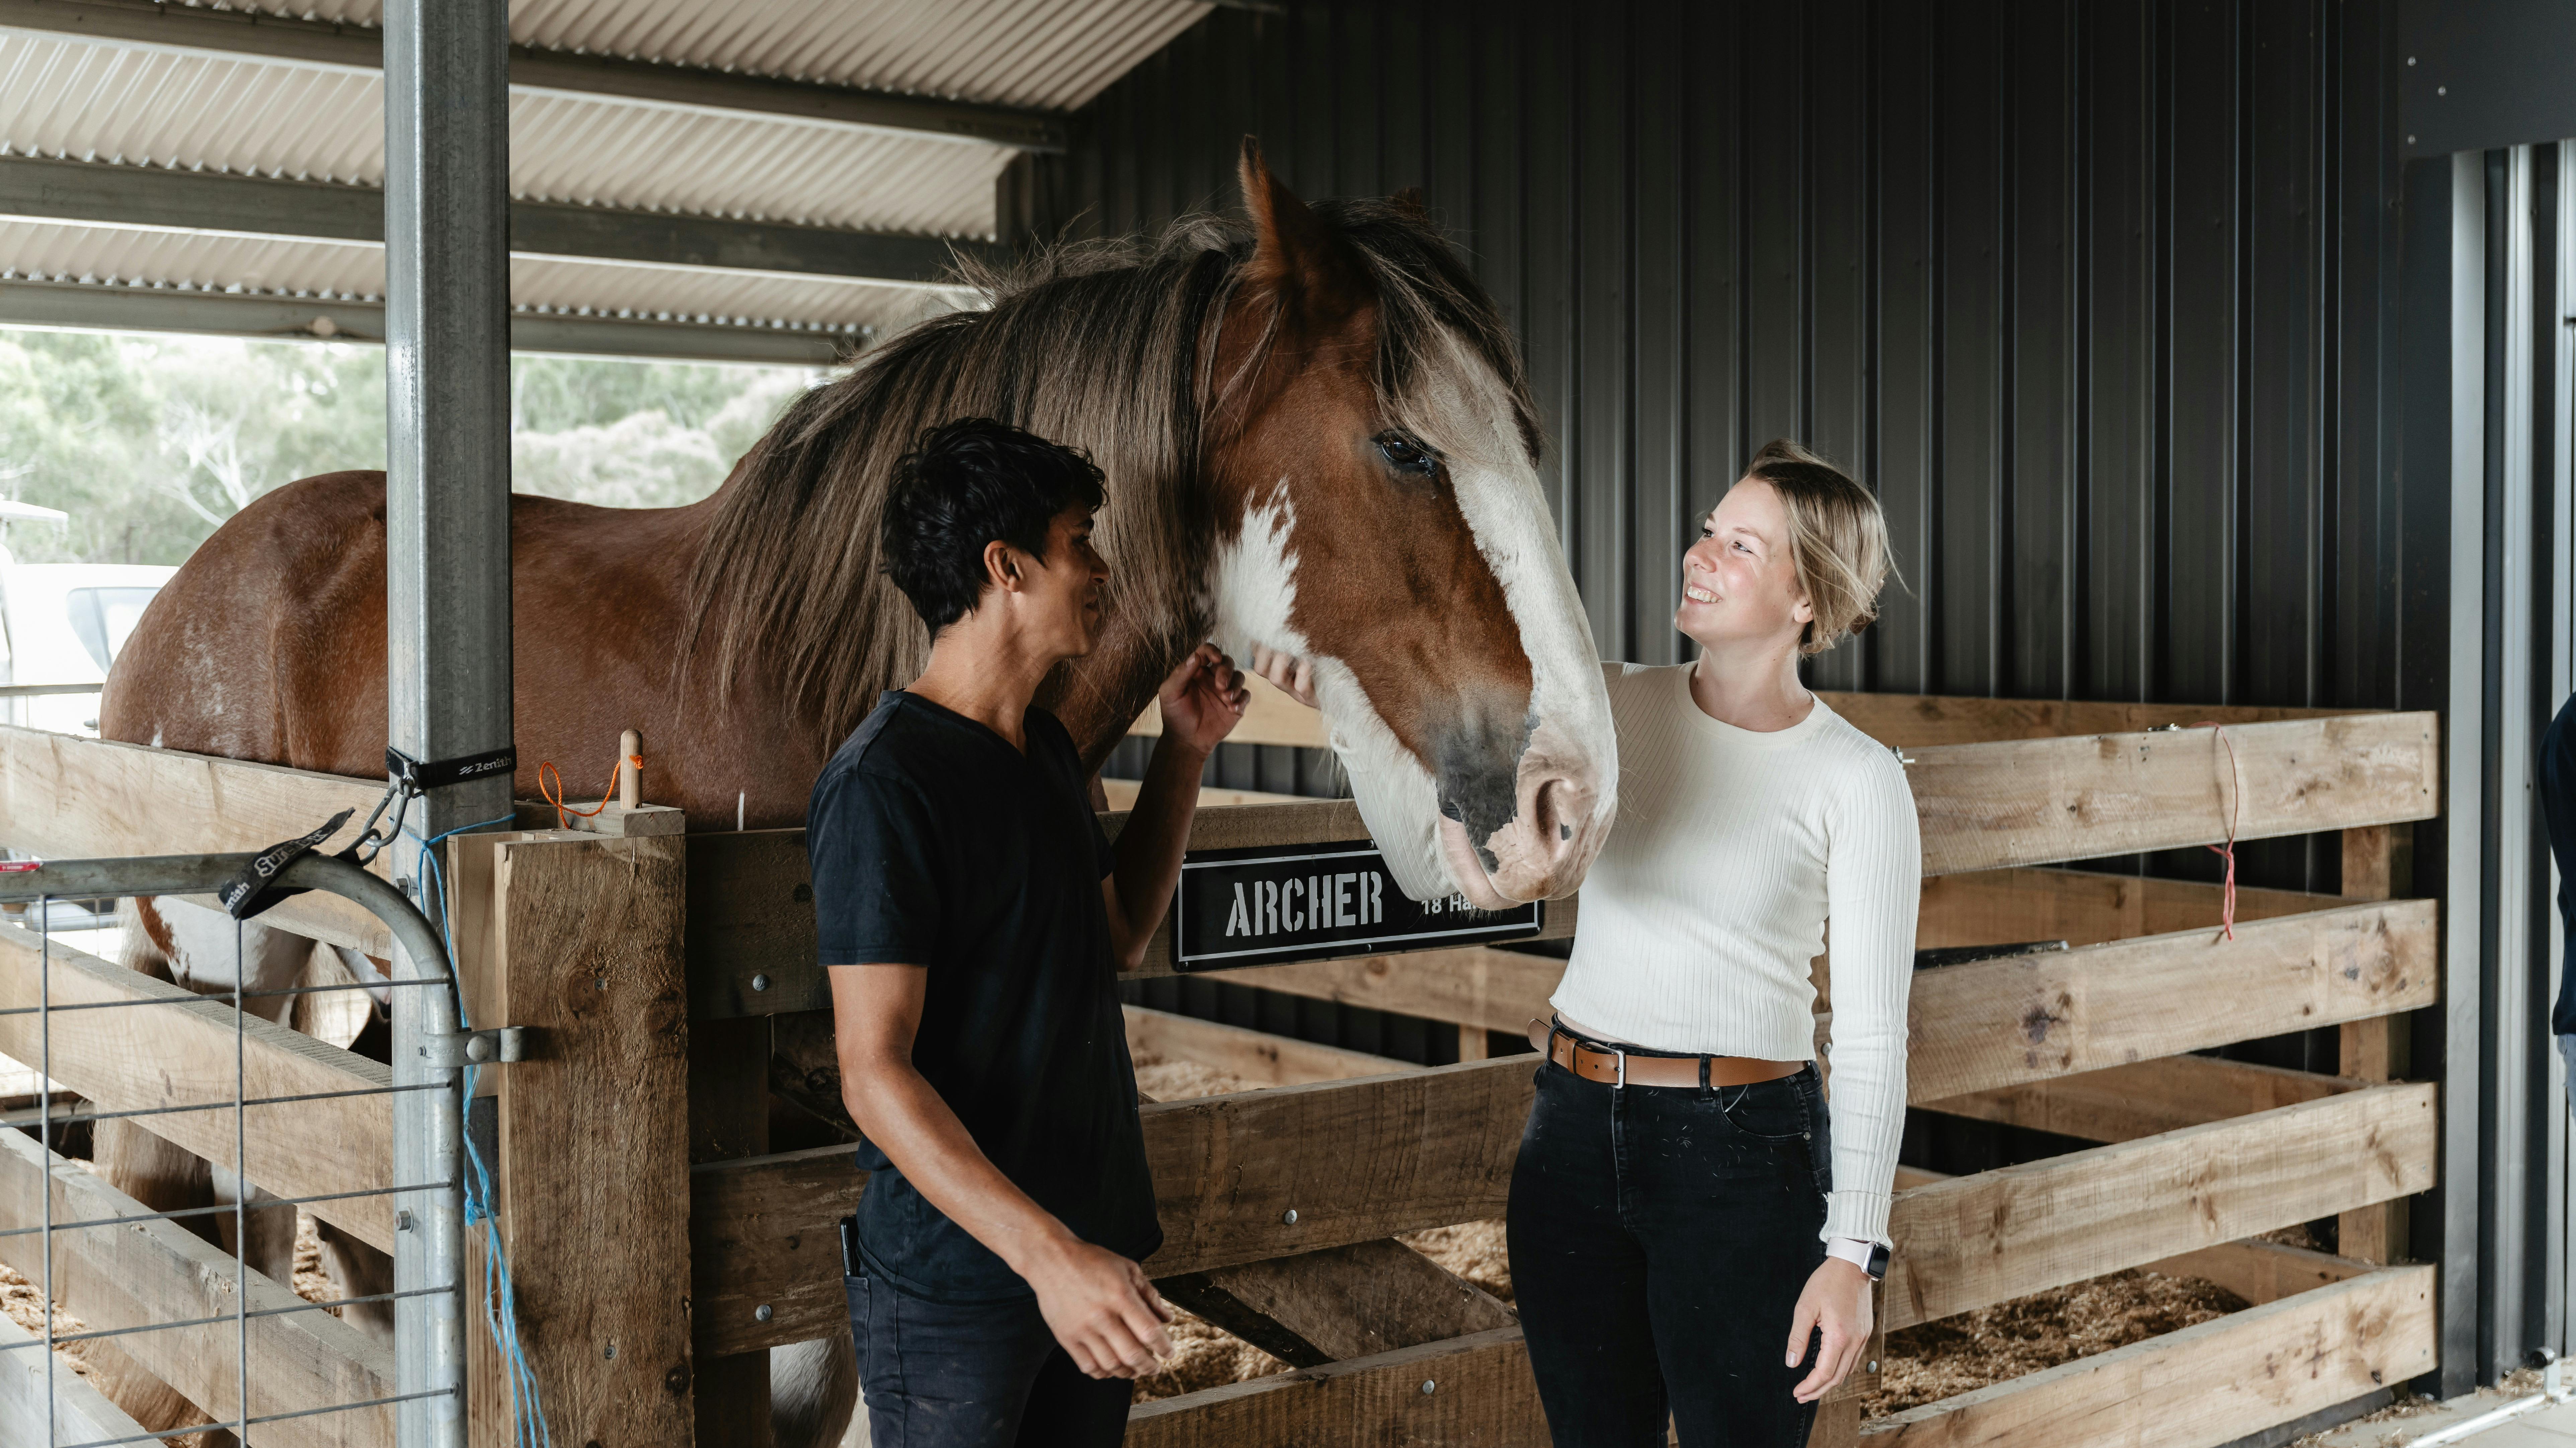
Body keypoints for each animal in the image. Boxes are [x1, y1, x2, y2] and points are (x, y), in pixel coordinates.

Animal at [92, 142, 1617, 1446]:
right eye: (1406, 447)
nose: (1571, 804)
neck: (809, 678)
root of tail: (186, 590)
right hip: (232, 972)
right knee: (231, 1201)